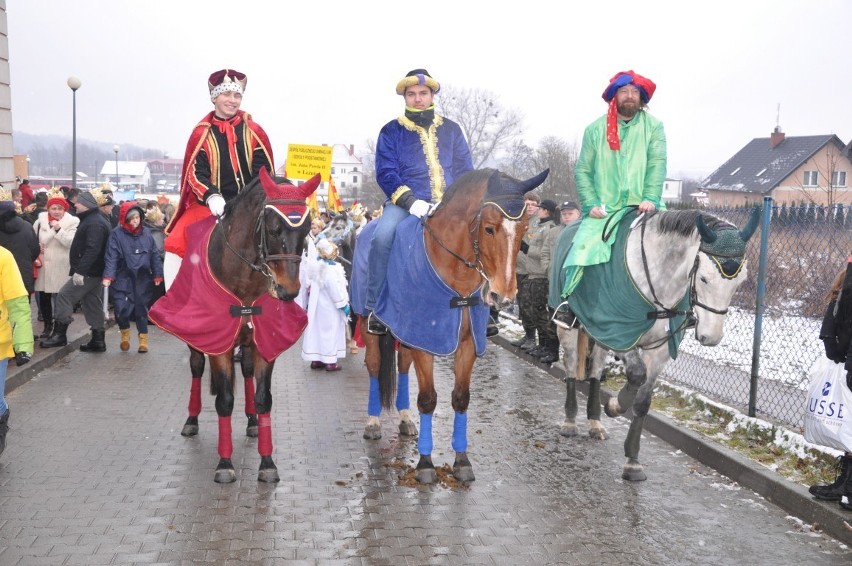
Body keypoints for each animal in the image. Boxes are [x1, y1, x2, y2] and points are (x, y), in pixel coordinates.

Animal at [150, 169, 320, 484]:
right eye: (274, 229)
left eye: (306, 231)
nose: (288, 291)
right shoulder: (219, 345)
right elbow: (225, 400)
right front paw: (225, 463)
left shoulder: (265, 342)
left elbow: (264, 398)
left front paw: (267, 462)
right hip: (196, 339)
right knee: (196, 367)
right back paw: (191, 420)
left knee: (247, 372)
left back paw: (251, 420)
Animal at [352, 169, 544, 484]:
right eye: (489, 228)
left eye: (525, 229)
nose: (503, 297)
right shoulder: (425, 339)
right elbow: (428, 399)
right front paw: (425, 464)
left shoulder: (466, 343)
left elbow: (461, 398)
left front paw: (462, 460)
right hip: (367, 323)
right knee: (373, 365)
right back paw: (372, 422)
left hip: (405, 333)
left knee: (402, 366)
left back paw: (405, 418)